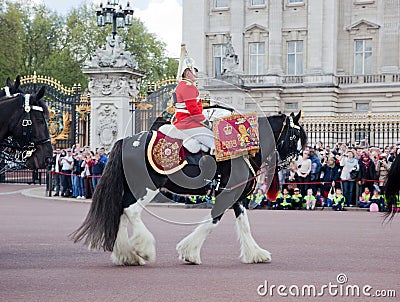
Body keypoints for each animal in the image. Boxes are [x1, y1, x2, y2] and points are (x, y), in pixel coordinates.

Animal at [72, 111, 306, 264]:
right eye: (295, 136)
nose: (296, 165)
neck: (242, 149)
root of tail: (127, 140)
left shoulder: (236, 197)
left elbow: (244, 225)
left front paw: (256, 254)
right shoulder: (226, 195)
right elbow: (211, 222)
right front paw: (189, 252)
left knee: (121, 211)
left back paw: (126, 255)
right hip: (147, 188)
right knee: (131, 211)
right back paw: (143, 249)